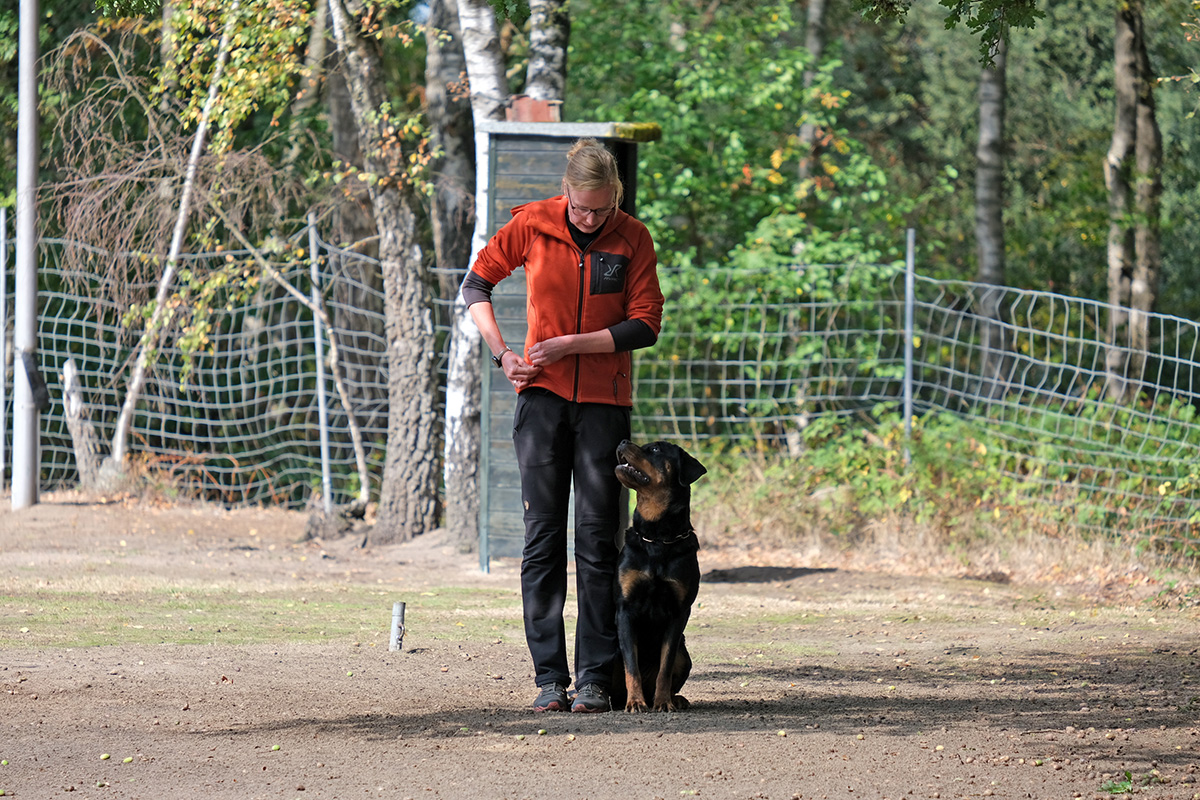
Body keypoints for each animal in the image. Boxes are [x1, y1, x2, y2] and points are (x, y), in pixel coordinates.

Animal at [614, 438, 705, 714]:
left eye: (654, 449)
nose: (623, 440)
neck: (657, 537)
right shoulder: (625, 609)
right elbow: (631, 667)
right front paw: (635, 702)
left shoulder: (678, 612)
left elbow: (665, 666)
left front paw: (663, 702)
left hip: (685, 654)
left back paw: (675, 699)